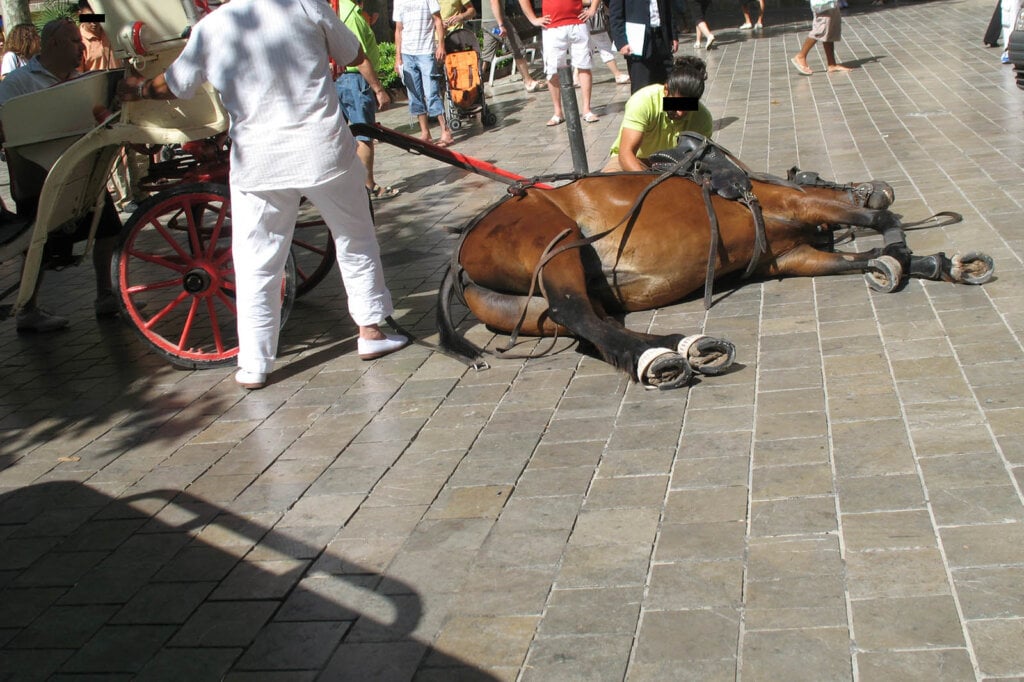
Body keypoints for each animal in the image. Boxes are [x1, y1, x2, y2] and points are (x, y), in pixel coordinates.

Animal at [438, 138, 991, 387]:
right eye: (816, 174)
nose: (878, 184)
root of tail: (462, 250)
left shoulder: (791, 258)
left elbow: (859, 257)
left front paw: (938, 264)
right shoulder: (801, 206)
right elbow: (880, 222)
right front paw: (903, 253)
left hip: (526, 307)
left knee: (587, 326)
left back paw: (680, 344)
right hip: (560, 246)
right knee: (577, 312)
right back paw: (659, 356)